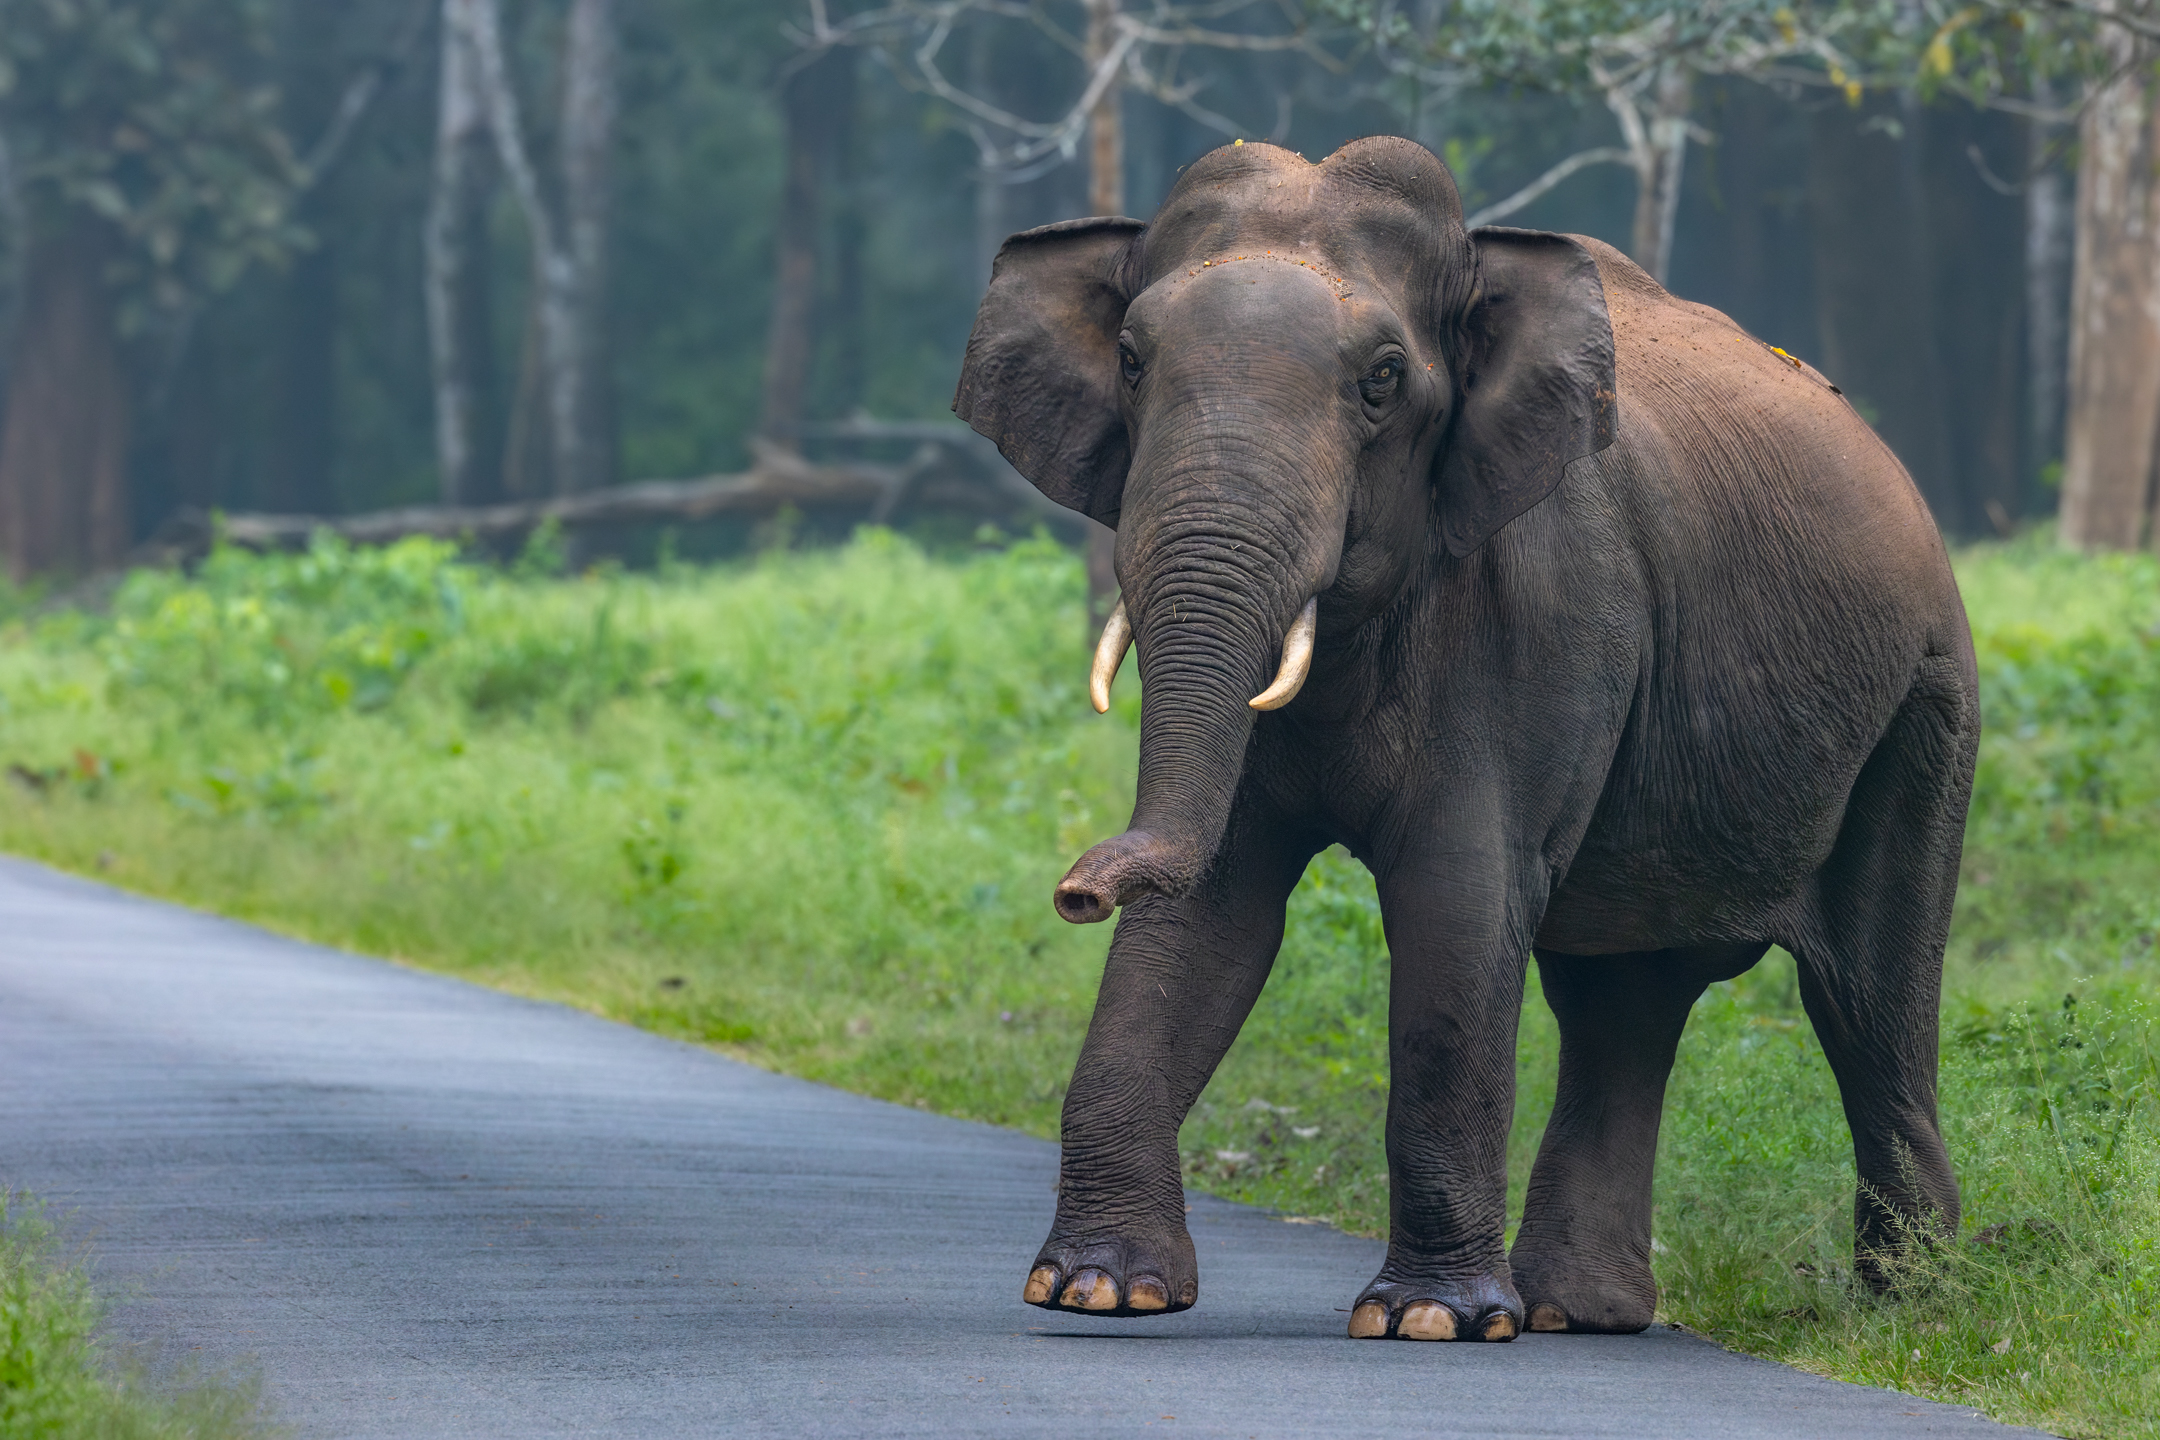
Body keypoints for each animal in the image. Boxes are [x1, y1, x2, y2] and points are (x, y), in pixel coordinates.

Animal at [952, 136, 1977, 1341]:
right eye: (1127, 359)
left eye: (1383, 381)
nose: (1074, 893)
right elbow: (1212, 908)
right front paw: (1100, 1290)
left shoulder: (1549, 612)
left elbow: (1461, 897)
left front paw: (1429, 1321)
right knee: (1624, 998)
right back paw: (1581, 1311)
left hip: (1926, 707)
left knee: (1869, 998)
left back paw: (1912, 1310)